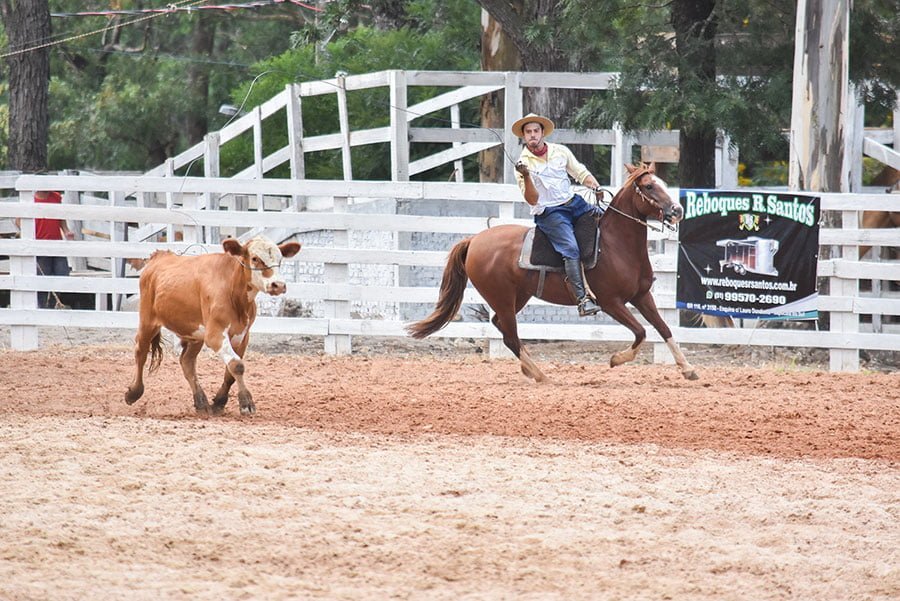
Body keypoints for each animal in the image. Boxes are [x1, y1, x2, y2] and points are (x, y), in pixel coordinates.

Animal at [124, 237, 302, 414]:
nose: (278, 285)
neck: (233, 291)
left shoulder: (242, 336)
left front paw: (220, 401)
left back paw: (201, 401)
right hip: (148, 320)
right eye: (255, 258)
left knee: (187, 362)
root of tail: (159, 256)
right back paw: (134, 392)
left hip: (195, 334)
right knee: (141, 352)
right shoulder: (215, 334)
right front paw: (246, 402)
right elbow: (237, 365)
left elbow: (230, 371)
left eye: (280, 259)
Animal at [404, 162, 700, 382]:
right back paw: (540, 374)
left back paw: (528, 369)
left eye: (663, 184)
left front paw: (688, 369)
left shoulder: (642, 296)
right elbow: (640, 332)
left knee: (501, 326)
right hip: (502, 297)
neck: (614, 244)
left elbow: (663, 328)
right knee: (510, 336)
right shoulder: (611, 302)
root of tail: (474, 240)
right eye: (649, 186)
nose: (677, 210)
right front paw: (616, 359)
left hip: (517, 297)